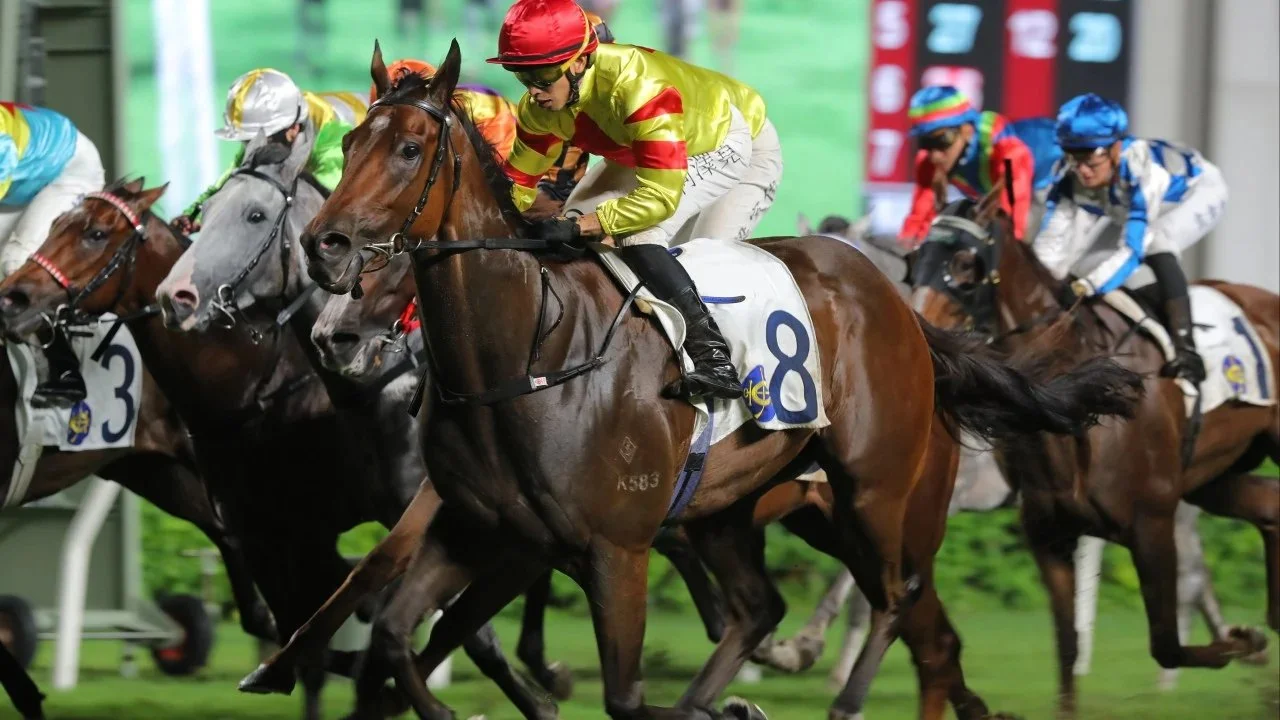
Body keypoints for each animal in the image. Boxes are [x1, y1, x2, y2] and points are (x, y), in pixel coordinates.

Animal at [907, 193, 1278, 717]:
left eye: (963, 263)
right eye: (914, 259)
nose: (915, 332)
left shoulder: (1151, 523)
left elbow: (1165, 644)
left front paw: (1246, 641)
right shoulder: (1051, 535)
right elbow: (1068, 647)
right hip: (1214, 475)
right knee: (1269, 505)